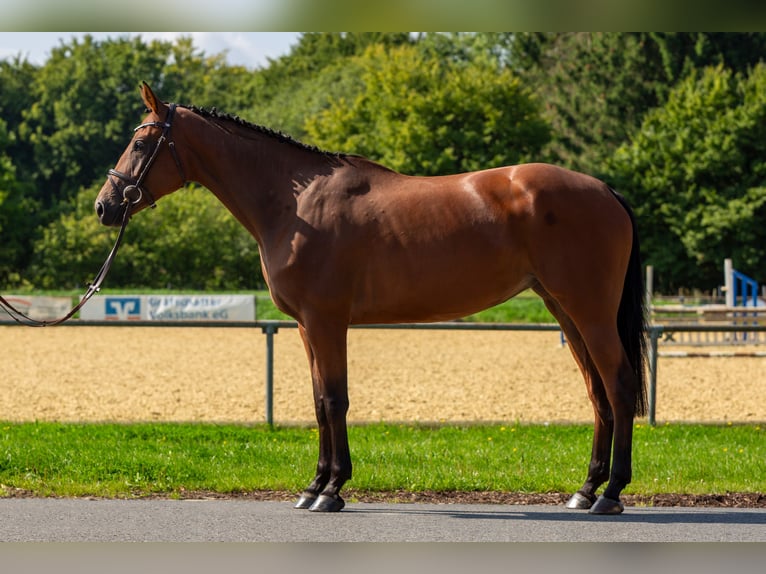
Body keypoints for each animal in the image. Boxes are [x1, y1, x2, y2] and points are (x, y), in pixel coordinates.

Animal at [96, 82, 647, 514]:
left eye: (141, 142)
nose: (106, 205)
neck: (295, 203)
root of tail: (604, 190)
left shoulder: (326, 320)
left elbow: (334, 400)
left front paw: (331, 489)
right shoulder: (305, 326)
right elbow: (320, 401)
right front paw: (315, 485)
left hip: (590, 311)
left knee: (619, 386)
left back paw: (610, 494)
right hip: (564, 310)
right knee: (597, 392)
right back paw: (585, 489)